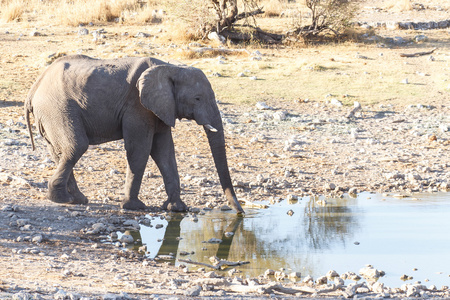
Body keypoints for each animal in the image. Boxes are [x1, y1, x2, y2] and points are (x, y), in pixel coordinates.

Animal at [24, 54, 243, 213]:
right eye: (197, 98)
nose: (240, 212)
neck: (171, 68)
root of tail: (34, 88)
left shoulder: (161, 107)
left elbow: (164, 151)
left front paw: (177, 209)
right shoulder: (138, 106)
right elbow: (140, 148)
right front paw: (134, 207)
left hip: (50, 114)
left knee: (59, 151)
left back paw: (77, 199)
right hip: (57, 108)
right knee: (76, 146)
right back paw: (60, 199)